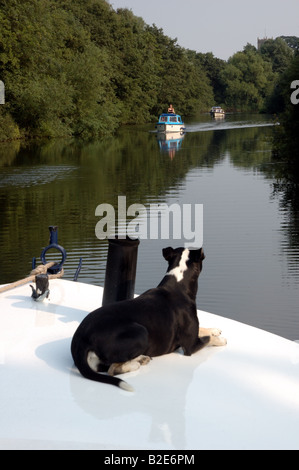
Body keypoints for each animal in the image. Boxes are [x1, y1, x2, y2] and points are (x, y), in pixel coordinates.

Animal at [71, 246, 227, 390]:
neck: (178, 285)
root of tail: (81, 338)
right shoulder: (191, 346)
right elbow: (208, 339)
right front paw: (220, 339)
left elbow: (203, 329)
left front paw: (215, 330)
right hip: (141, 332)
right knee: (112, 368)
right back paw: (138, 361)